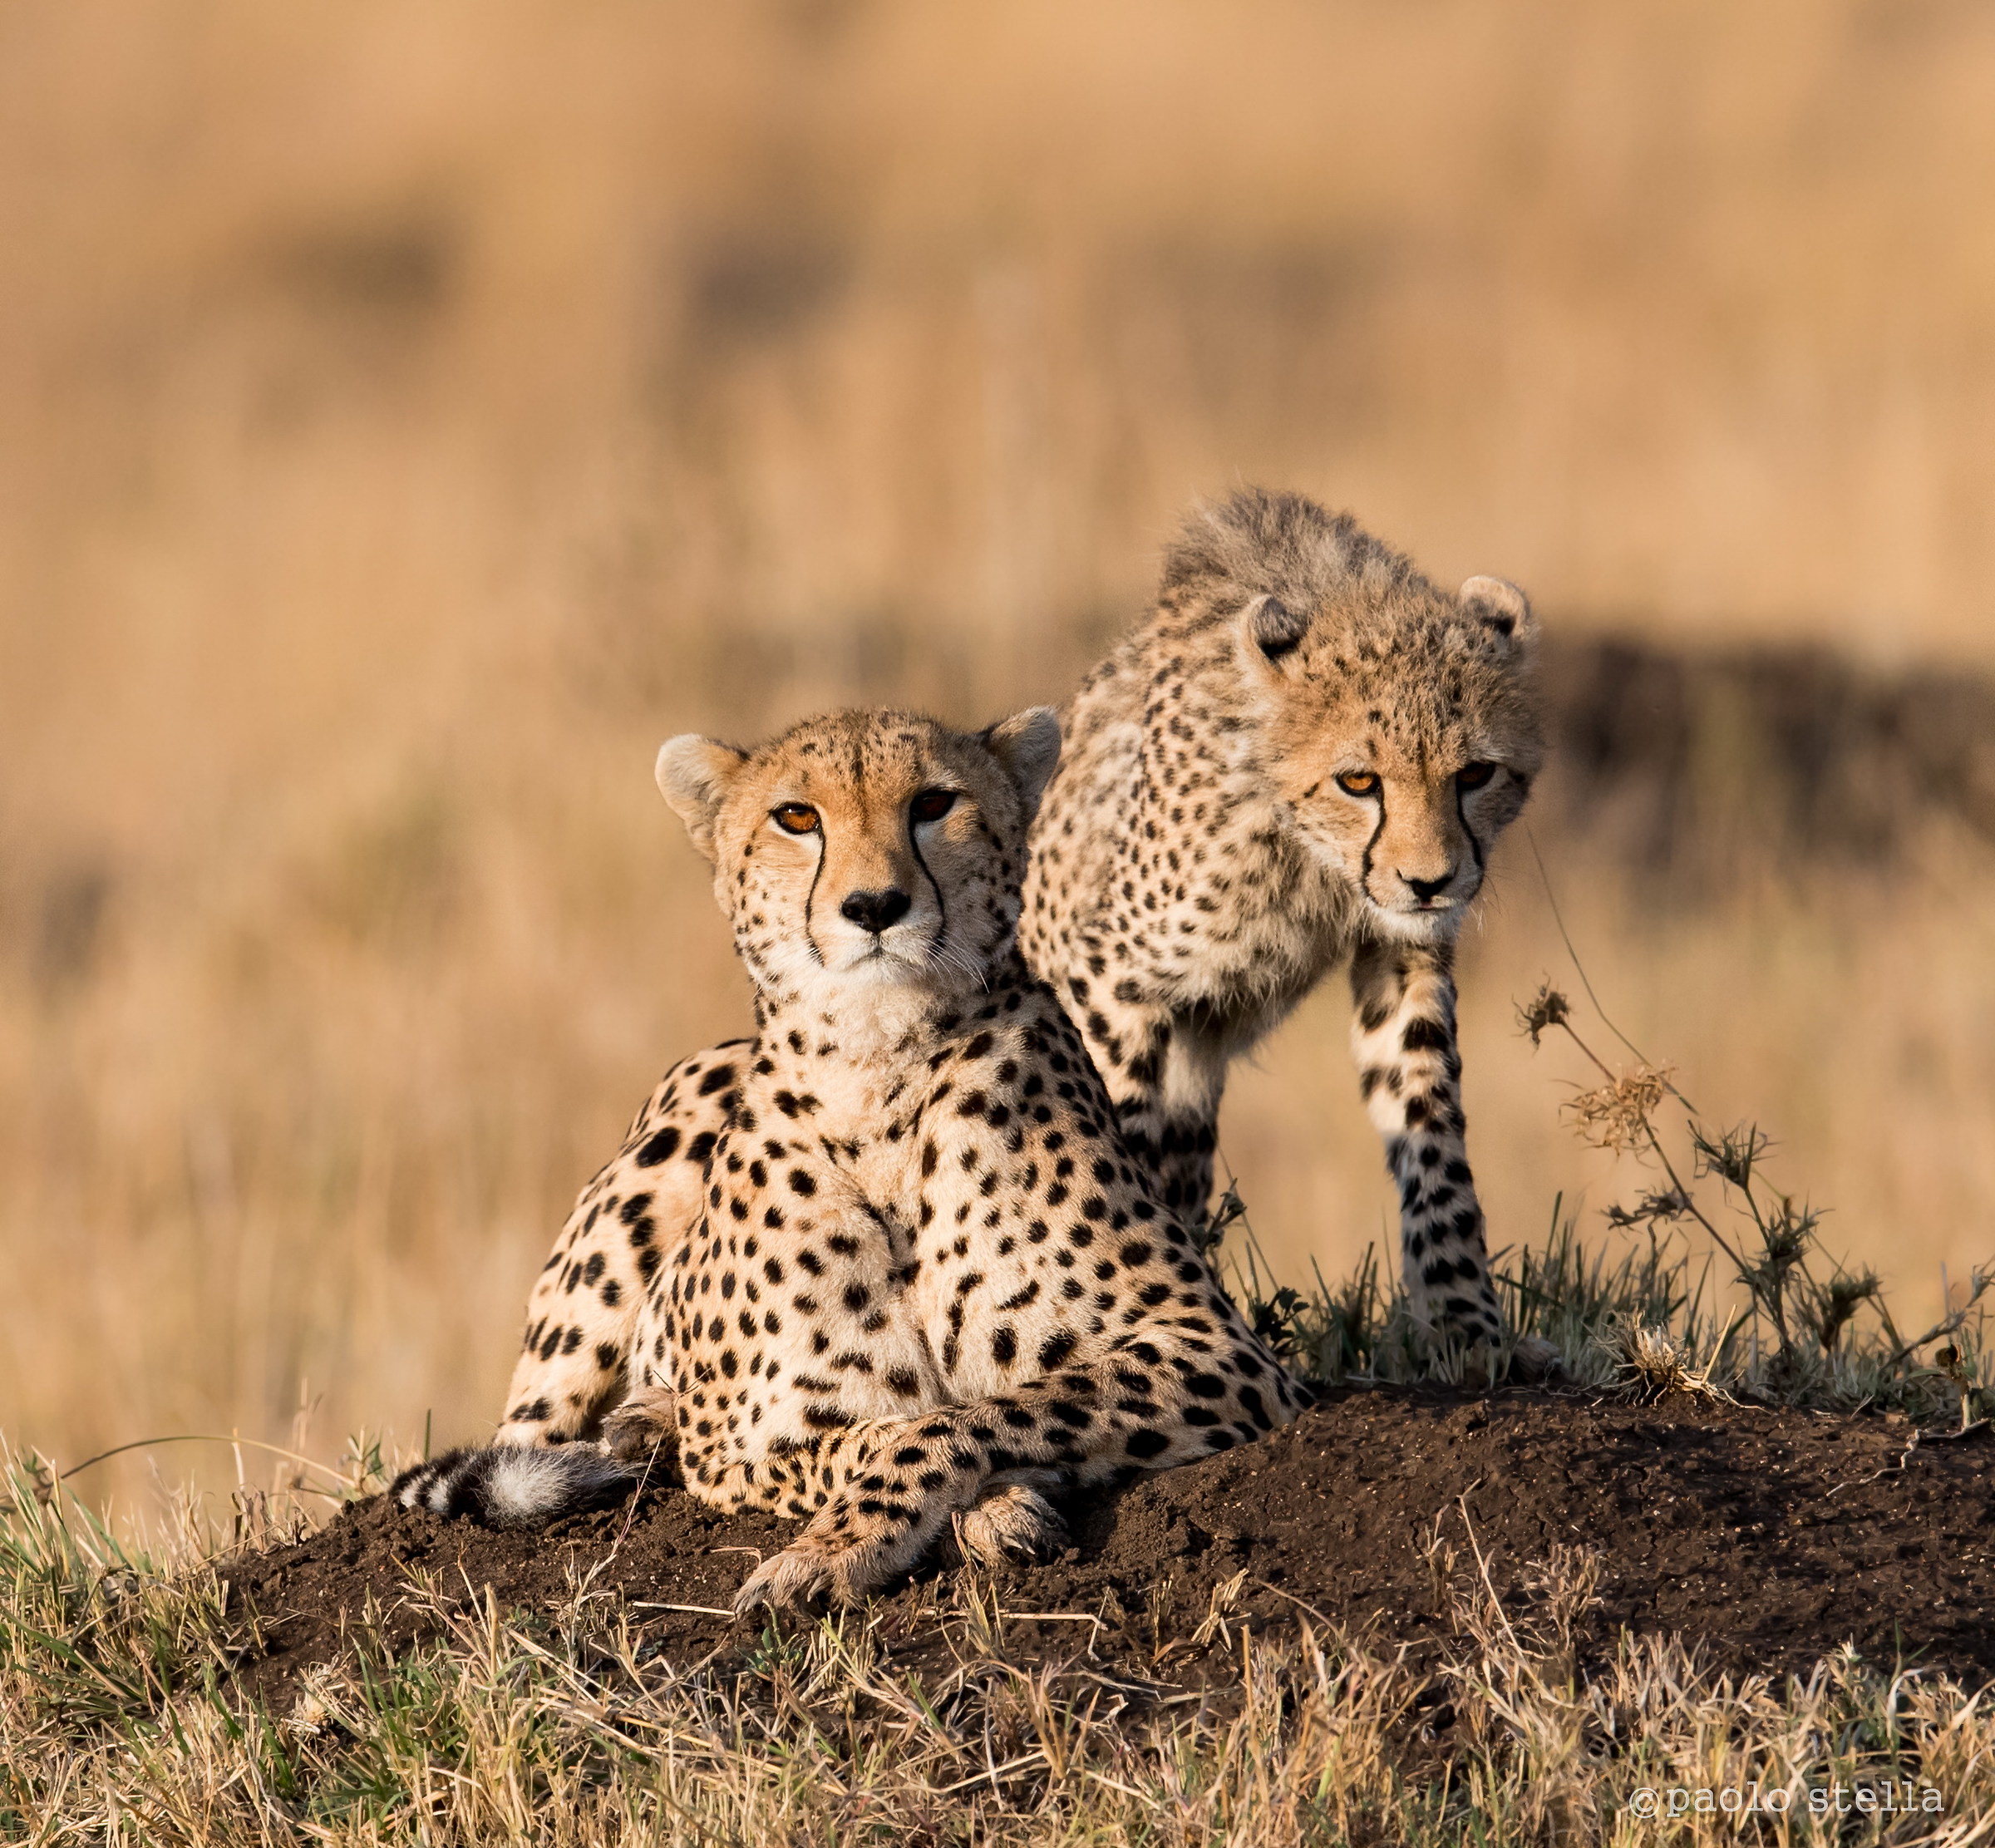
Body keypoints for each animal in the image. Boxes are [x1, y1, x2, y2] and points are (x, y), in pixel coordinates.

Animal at [397, 705, 1305, 1608]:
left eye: (935, 803)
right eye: (797, 817)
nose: (874, 905)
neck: (877, 1069)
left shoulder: (1211, 1348)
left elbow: (965, 1417)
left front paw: (856, 1542)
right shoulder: (732, 1446)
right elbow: (871, 1436)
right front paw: (902, 1525)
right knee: (530, 1439)